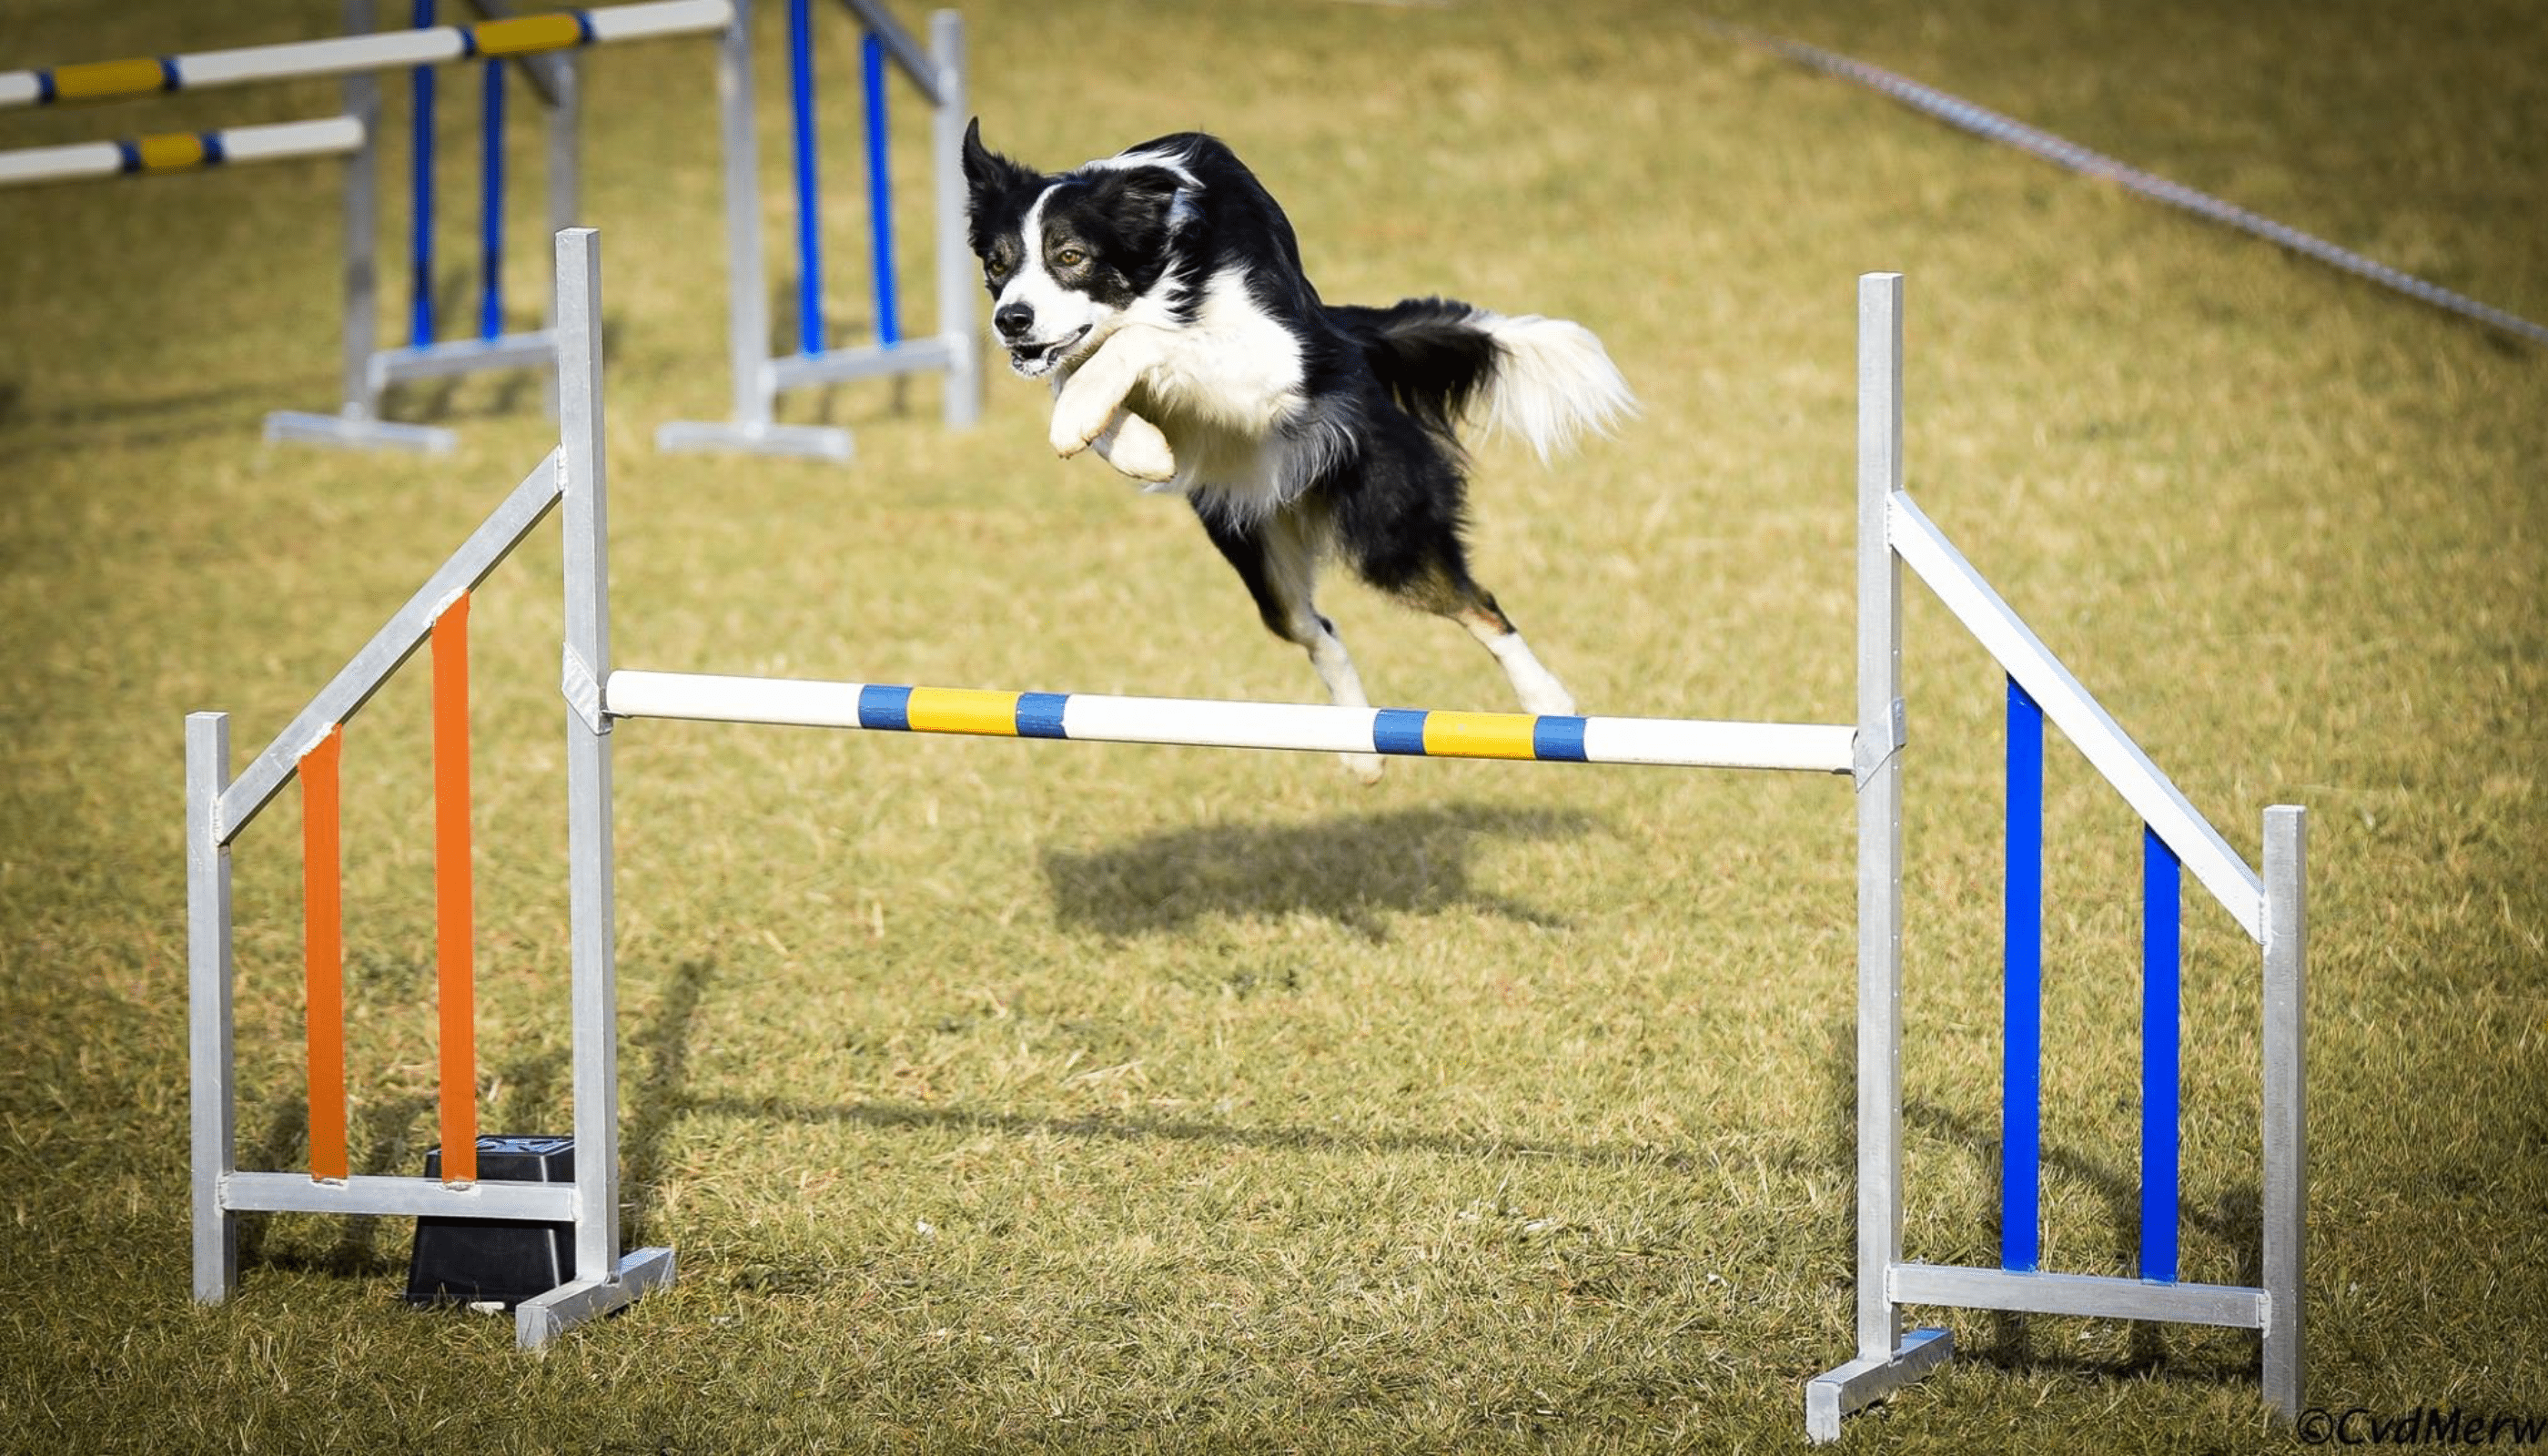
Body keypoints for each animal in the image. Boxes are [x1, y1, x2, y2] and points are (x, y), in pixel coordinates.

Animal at [957, 122, 1631, 785]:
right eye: (997, 264)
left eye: (1071, 257)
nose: (1011, 320)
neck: (1164, 256)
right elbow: (1076, 376)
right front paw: (1137, 446)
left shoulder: (1280, 359)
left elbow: (1144, 342)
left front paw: (1093, 414)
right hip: (1257, 551)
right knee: (1316, 628)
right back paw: (1360, 749)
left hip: (1387, 529)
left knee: (1479, 605)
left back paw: (1549, 703)